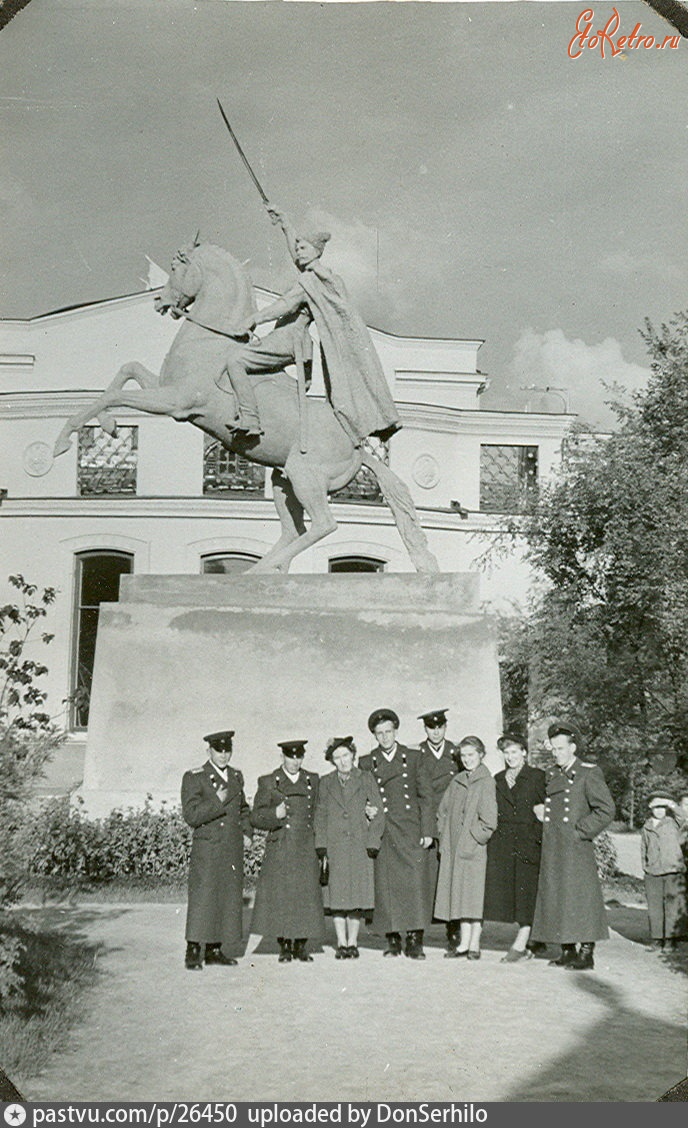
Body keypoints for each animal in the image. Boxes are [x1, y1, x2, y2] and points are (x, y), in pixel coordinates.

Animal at [53, 240, 439, 573]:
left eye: (178, 267)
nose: (160, 301)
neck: (211, 341)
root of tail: (358, 445)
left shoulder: (176, 402)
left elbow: (113, 394)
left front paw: (64, 440)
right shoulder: (166, 391)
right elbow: (126, 370)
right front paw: (107, 425)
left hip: (305, 477)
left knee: (324, 524)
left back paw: (260, 570)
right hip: (284, 481)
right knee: (294, 531)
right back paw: (267, 570)